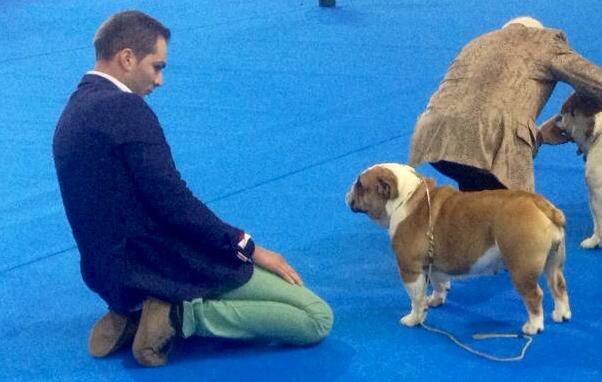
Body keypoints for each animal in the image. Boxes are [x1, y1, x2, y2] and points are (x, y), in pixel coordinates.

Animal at [344, 164, 568, 334]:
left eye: (360, 185)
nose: (347, 192)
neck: (405, 199)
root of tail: (541, 205)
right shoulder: (433, 264)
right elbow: (439, 284)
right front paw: (435, 300)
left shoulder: (409, 269)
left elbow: (416, 298)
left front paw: (414, 318)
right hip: (553, 262)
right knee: (558, 286)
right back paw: (561, 314)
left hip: (521, 268)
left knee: (535, 295)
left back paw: (533, 326)